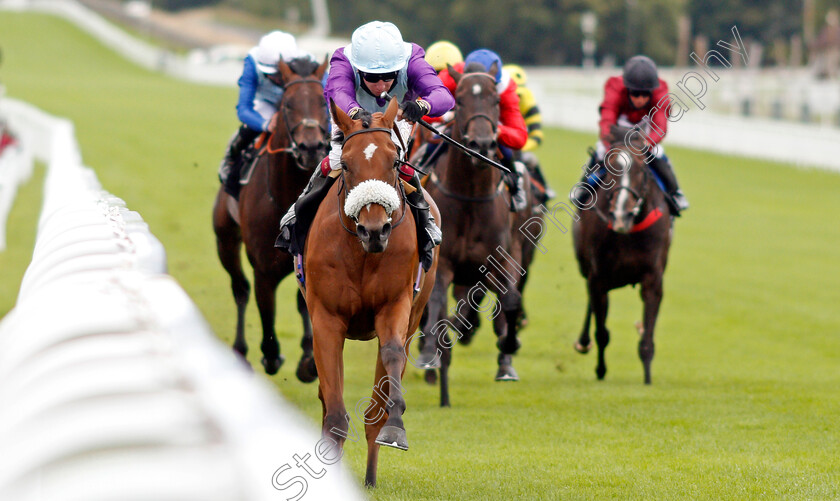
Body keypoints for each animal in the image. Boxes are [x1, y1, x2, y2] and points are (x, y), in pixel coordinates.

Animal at [210, 57, 328, 378]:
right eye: (287, 104)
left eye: (322, 100)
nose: (311, 148)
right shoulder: (263, 270)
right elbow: (266, 315)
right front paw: (272, 354)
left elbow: (306, 308)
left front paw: (308, 358)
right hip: (225, 240)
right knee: (240, 289)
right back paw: (240, 351)